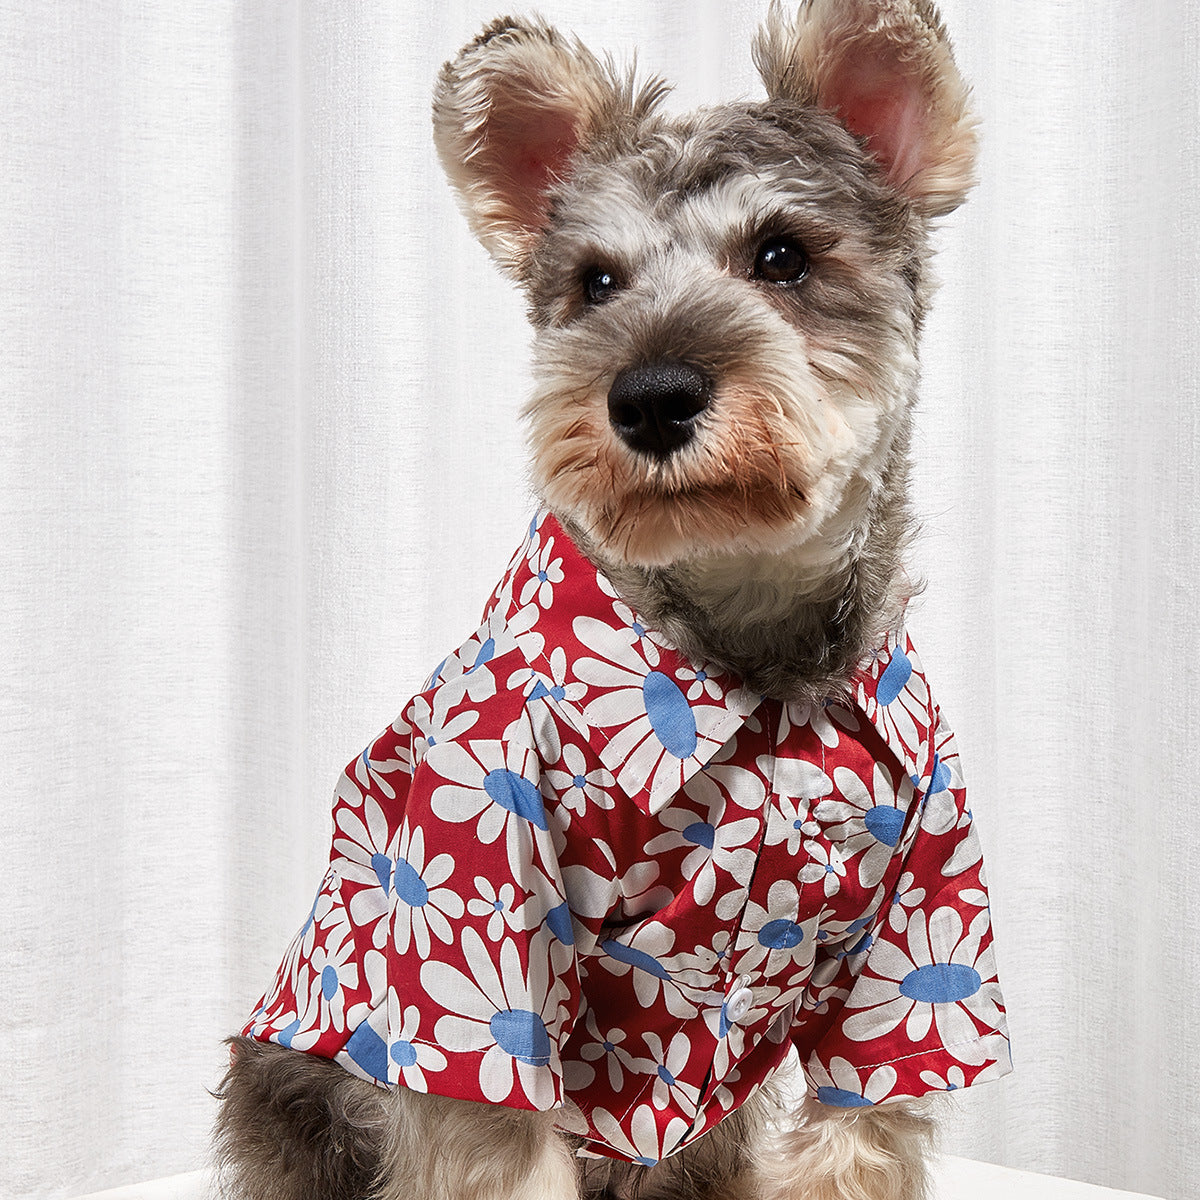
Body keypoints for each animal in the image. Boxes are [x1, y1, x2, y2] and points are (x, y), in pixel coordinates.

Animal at [211, 2, 1008, 1200]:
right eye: (594, 282)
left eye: (784, 255)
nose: (652, 395)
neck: (746, 644)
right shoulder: (485, 939)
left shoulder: (916, 946)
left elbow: (859, 1125)